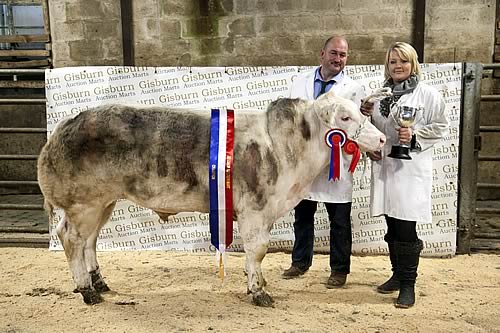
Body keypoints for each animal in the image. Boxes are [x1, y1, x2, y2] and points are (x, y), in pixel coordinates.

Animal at [37, 89, 386, 306]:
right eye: (344, 118)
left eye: (361, 112)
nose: (382, 139)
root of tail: (64, 127)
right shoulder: (254, 208)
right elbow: (258, 250)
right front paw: (259, 292)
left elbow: (256, 253)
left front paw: (257, 283)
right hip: (85, 203)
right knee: (71, 239)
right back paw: (87, 291)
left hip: (103, 202)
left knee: (89, 241)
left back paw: (99, 283)